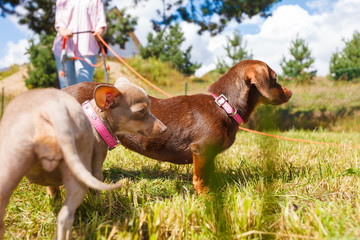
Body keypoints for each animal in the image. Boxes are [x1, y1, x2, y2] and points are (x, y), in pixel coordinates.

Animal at [0, 78, 166, 239]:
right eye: (141, 111)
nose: (164, 128)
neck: (96, 119)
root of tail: (55, 114)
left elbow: (53, 193)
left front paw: (55, 203)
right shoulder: (96, 166)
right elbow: (96, 191)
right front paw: (100, 207)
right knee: (65, 216)